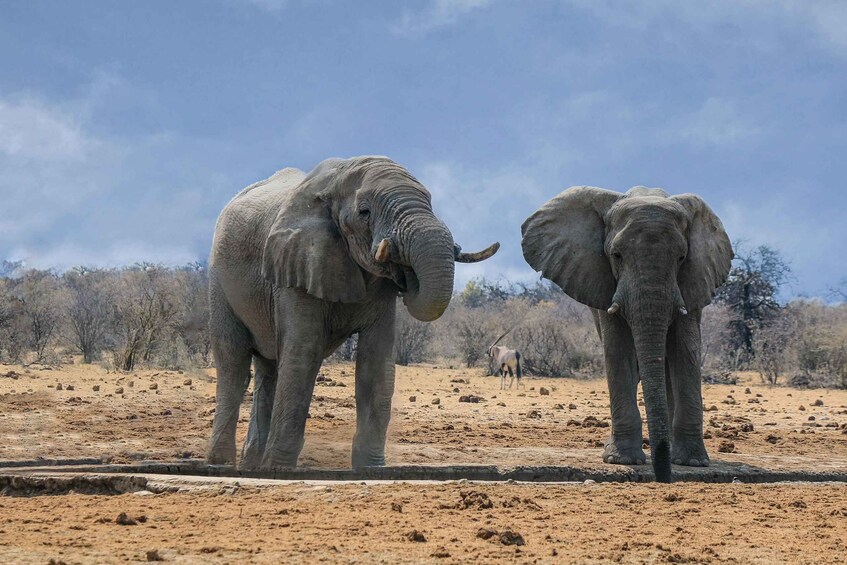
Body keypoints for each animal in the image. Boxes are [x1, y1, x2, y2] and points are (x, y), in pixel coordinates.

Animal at [206, 156, 499, 470]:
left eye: (430, 202)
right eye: (364, 212)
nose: (405, 273)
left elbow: (376, 360)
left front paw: (371, 469)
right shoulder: (295, 265)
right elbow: (303, 352)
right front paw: (279, 468)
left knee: (267, 369)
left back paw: (251, 465)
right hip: (219, 280)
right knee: (233, 363)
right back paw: (222, 464)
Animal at [521, 186, 732, 482]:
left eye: (681, 257)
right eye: (616, 255)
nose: (663, 478)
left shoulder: (693, 279)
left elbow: (685, 352)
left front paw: (693, 463)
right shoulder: (604, 283)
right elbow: (619, 351)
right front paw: (621, 461)